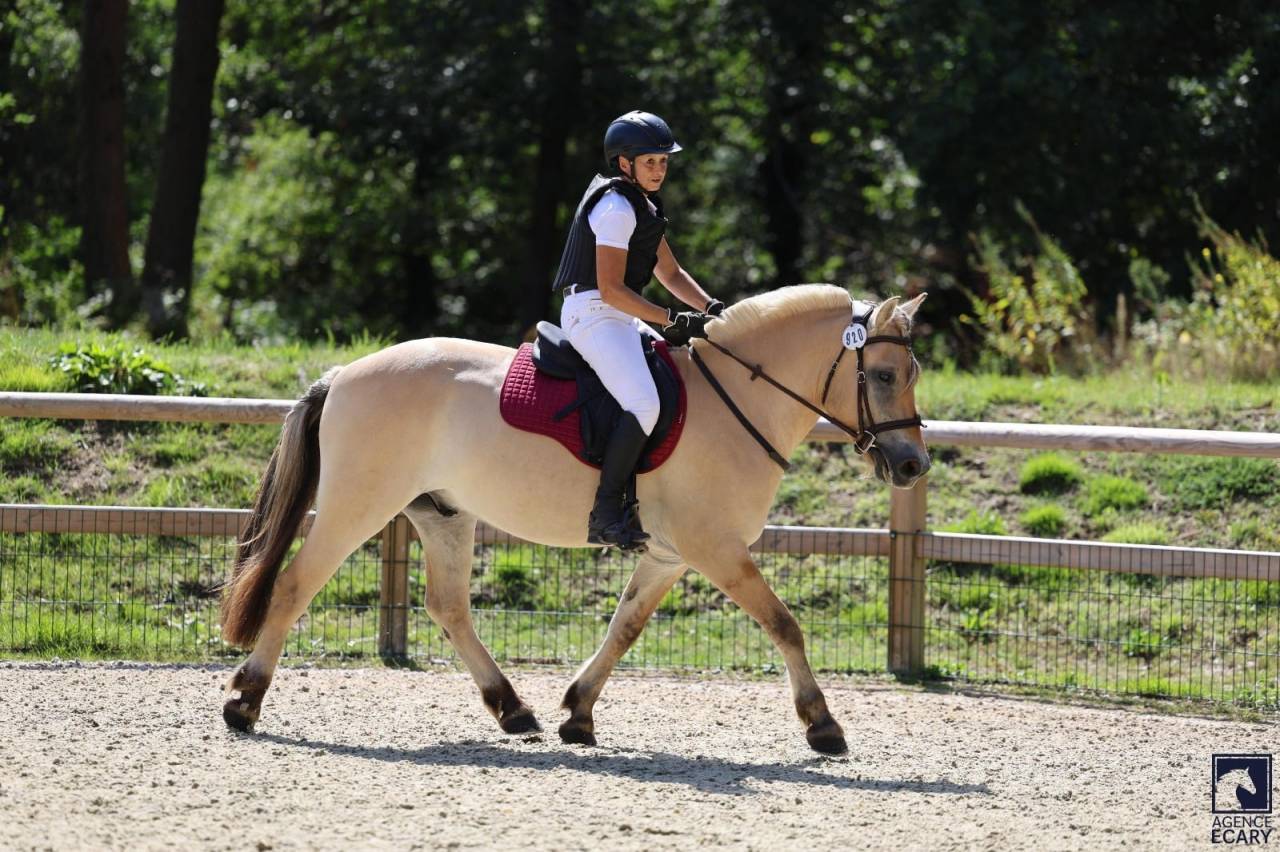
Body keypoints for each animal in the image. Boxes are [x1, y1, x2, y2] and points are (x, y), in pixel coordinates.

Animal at [219, 284, 930, 754]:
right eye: (884, 374)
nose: (913, 465)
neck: (736, 399)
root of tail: (343, 375)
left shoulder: (669, 554)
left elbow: (625, 627)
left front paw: (578, 713)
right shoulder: (715, 548)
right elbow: (784, 624)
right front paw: (823, 725)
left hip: (443, 515)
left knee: (448, 607)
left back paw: (514, 710)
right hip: (358, 505)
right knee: (295, 586)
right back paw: (244, 701)